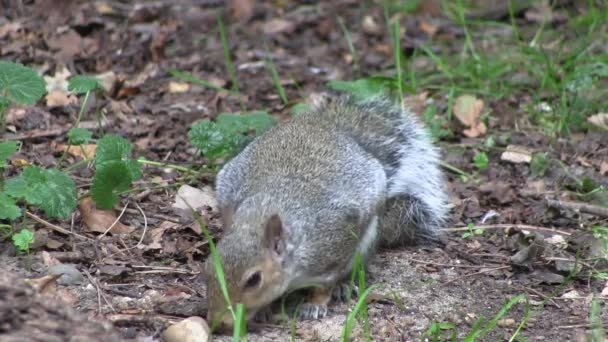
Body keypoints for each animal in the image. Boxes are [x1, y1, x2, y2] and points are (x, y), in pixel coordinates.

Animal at [207, 93, 448, 328]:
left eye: (254, 280)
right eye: (208, 267)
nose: (218, 321)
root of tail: (328, 126)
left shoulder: (333, 244)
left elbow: (326, 283)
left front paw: (315, 304)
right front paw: (265, 310)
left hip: (367, 239)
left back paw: (345, 285)